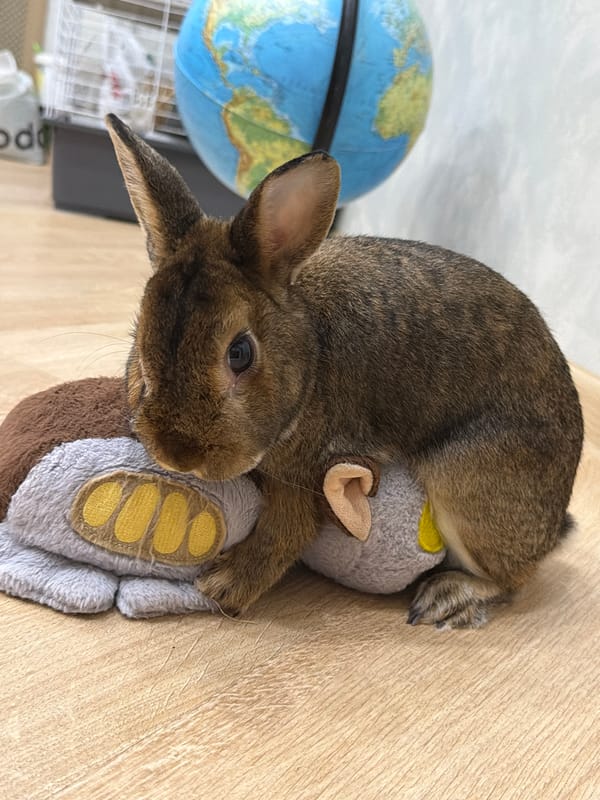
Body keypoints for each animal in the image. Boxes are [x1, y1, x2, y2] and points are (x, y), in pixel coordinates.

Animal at [106, 114, 583, 627]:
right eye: (140, 336)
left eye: (240, 353)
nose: (178, 455)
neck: (311, 355)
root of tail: (551, 523)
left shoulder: (310, 469)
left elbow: (290, 528)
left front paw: (225, 586)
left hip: (464, 481)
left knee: (512, 581)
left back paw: (448, 598)